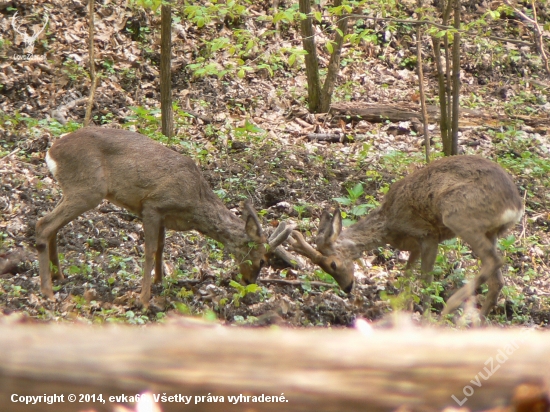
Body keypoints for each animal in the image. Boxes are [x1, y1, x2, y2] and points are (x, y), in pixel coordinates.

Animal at [35, 127, 296, 304]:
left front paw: (159, 282)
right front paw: (143, 299)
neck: (194, 203)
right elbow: (150, 250)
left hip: (73, 190)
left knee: (50, 224)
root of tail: (51, 153)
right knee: (43, 224)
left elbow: (161, 248)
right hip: (89, 189)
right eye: (262, 261)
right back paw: (47, 292)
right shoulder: (152, 205)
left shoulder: (163, 216)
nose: (250, 283)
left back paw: (59, 276)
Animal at [288, 154, 528, 318]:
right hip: (491, 232)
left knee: (494, 261)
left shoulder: (428, 235)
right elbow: (406, 276)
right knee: (497, 278)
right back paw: (476, 321)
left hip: (457, 214)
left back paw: (450, 307)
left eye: (333, 264)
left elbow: (425, 279)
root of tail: (515, 206)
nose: (347, 288)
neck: (389, 225)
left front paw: (425, 314)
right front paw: (399, 307)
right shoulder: (414, 246)